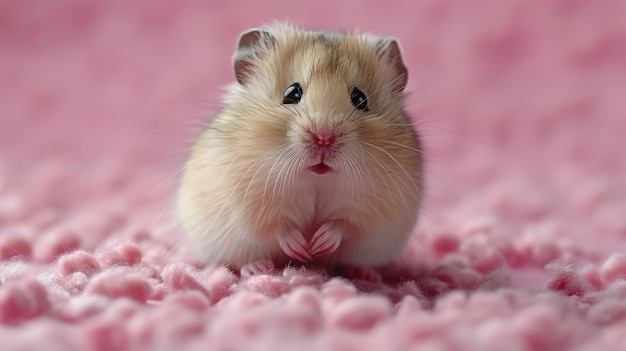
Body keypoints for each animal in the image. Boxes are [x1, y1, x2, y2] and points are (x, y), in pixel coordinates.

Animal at [173, 23, 422, 280]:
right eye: (291, 93)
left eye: (360, 99)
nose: (324, 137)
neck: (317, 179)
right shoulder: (249, 204)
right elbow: (276, 226)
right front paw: (302, 249)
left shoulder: (375, 211)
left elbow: (346, 225)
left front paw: (318, 244)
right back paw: (259, 268)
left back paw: (364, 273)